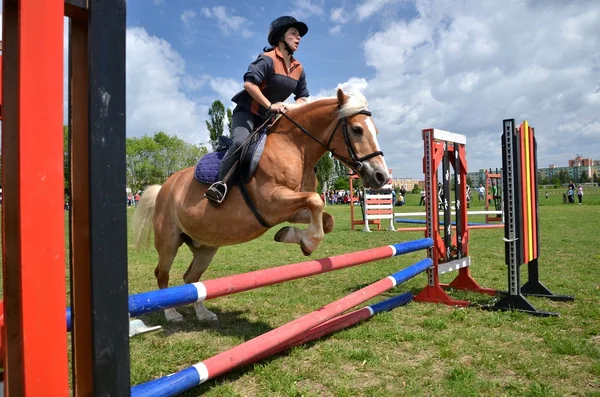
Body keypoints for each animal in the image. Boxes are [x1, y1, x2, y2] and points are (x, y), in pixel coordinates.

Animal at [132, 88, 390, 324]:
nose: (381, 176)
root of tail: (164, 187)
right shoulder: (272, 203)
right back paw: (172, 313)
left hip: (205, 246)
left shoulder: (293, 210)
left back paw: (203, 313)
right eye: (357, 130)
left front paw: (291, 235)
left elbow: (326, 218)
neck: (295, 148)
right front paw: (308, 242)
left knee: (191, 278)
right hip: (169, 241)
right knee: (162, 273)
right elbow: (316, 201)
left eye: (376, 131)